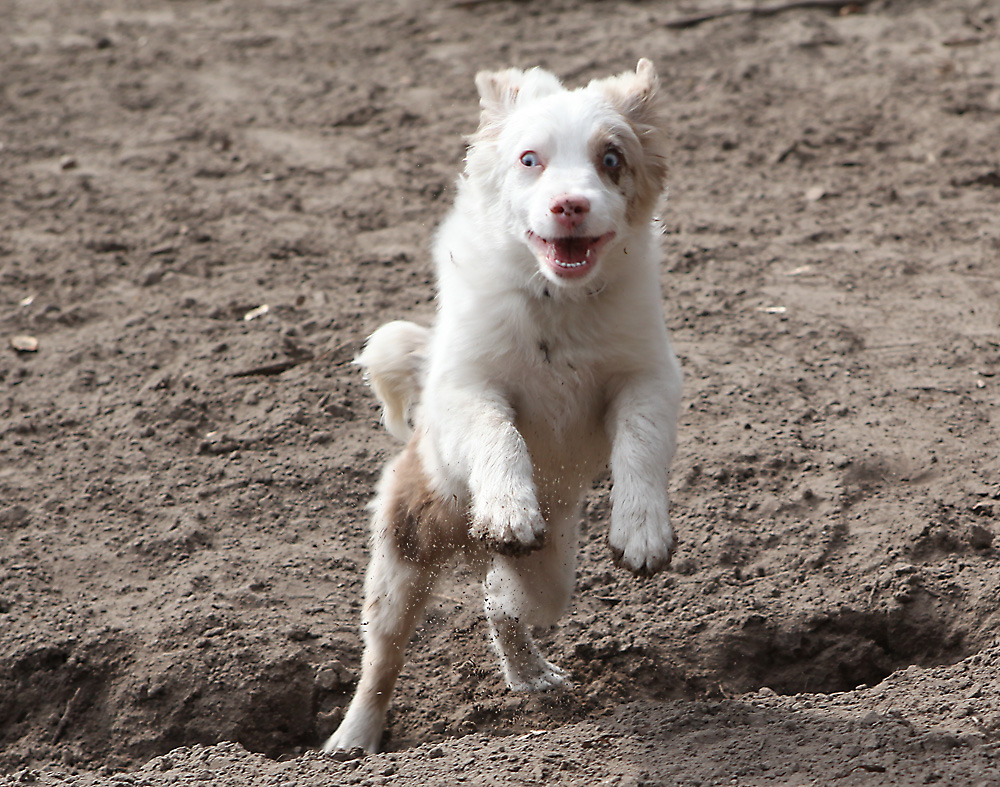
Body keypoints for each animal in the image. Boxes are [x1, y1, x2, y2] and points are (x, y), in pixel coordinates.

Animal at [324, 58, 684, 756]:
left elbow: (641, 444)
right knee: (381, 656)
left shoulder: (645, 378)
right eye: (529, 159)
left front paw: (641, 533)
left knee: (501, 601)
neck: (556, 304)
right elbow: (499, 434)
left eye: (611, 159)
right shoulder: (470, 386)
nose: (570, 205)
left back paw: (533, 675)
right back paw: (351, 743)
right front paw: (511, 508)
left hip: (550, 572)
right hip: (406, 550)